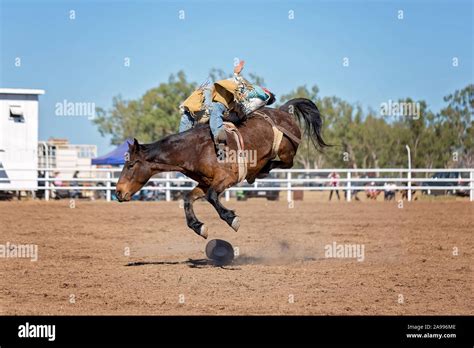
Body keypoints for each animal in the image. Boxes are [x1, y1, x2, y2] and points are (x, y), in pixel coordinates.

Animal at [116, 99, 328, 238]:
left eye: (131, 164)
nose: (118, 192)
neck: (196, 149)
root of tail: (283, 110)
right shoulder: (205, 183)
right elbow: (188, 199)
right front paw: (198, 227)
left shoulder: (226, 179)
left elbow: (211, 197)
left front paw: (231, 219)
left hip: (286, 151)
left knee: (286, 163)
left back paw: (261, 169)